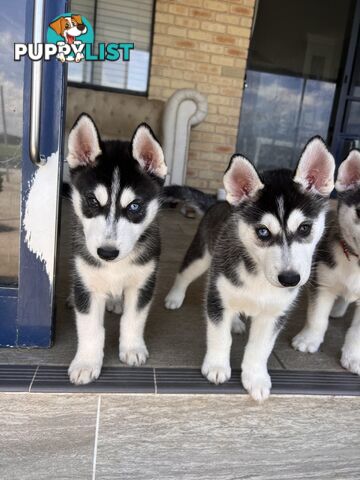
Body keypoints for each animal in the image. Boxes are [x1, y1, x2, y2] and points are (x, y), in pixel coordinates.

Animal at [67, 111, 167, 382]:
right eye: (92, 201)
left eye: (134, 206)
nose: (107, 253)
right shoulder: (87, 285)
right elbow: (90, 328)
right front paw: (86, 362)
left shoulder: (143, 282)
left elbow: (133, 319)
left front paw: (132, 348)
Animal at [165, 138, 334, 402]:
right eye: (263, 231)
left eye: (305, 228)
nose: (289, 279)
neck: (259, 276)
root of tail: (220, 202)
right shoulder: (217, 297)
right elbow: (219, 335)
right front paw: (217, 366)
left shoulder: (275, 313)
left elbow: (261, 347)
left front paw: (255, 377)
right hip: (202, 256)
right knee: (185, 273)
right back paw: (174, 297)